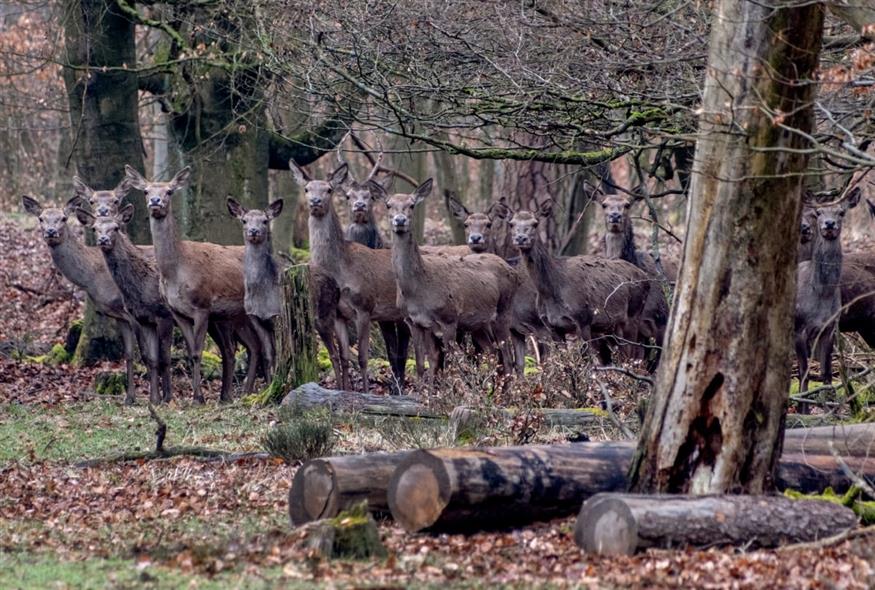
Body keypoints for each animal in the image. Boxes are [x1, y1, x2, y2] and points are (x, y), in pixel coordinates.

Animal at [20, 197, 138, 404]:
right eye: (41, 218)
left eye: (64, 218)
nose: (51, 232)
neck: (91, 279)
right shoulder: (118, 314)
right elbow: (129, 353)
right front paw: (130, 397)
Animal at [506, 201, 652, 364]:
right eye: (511, 223)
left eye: (535, 223)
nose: (521, 238)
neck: (553, 290)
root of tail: (646, 279)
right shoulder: (551, 326)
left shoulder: (583, 319)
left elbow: (586, 363)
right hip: (613, 326)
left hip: (633, 314)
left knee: (635, 355)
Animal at [792, 192, 864, 400]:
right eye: (818, 212)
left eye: (841, 212)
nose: (829, 224)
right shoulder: (799, 328)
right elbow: (804, 374)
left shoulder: (830, 328)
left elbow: (826, 374)